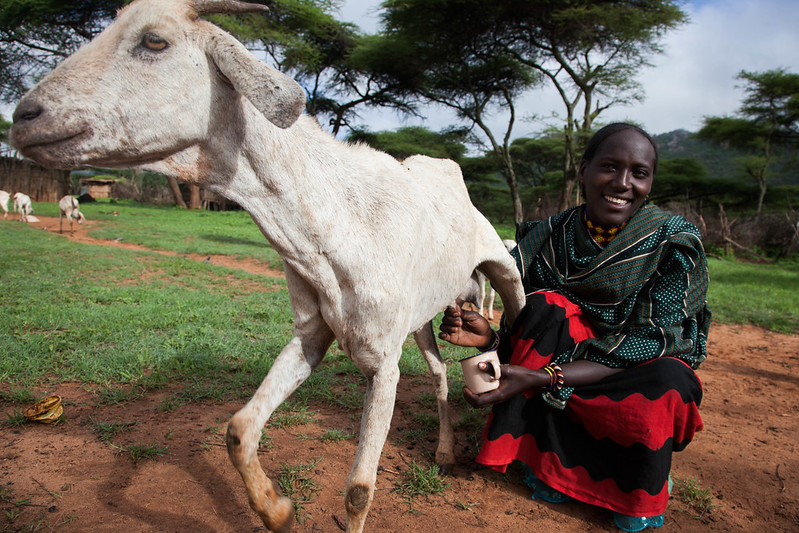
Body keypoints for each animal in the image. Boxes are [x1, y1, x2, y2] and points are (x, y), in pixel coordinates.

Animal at [9, 2, 528, 528]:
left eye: (155, 41)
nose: (23, 117)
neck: (335, 224)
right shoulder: (311, 335)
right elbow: (238, 430)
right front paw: (276, 510)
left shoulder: (382, 365)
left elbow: (359, 491)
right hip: (421, 317)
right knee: (440, 373)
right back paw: (443, 451)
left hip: (503, 270)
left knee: (515, 317)